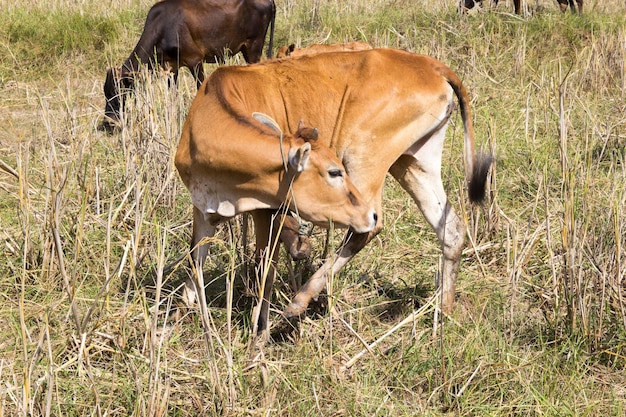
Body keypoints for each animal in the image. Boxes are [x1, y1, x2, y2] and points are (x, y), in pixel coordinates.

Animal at [102, 0, 272, 130]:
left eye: (117, 92)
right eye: (106, 93)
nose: (109, 123)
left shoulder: (195, 60)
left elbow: (200, 86)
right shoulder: (171, 67)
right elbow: (173, 95)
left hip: (253, 48)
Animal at [178, 48, 490, 334]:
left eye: (336, 170)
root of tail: (429, 65)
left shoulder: (268, 212)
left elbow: (264, 269)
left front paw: (260, 335)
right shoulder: (202, 209)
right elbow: (195, 261)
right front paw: (185, 316)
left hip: (364, 157)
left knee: (368, 227)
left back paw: (298, 301)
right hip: (413, 162)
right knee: (451, 229)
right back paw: (444, 314)